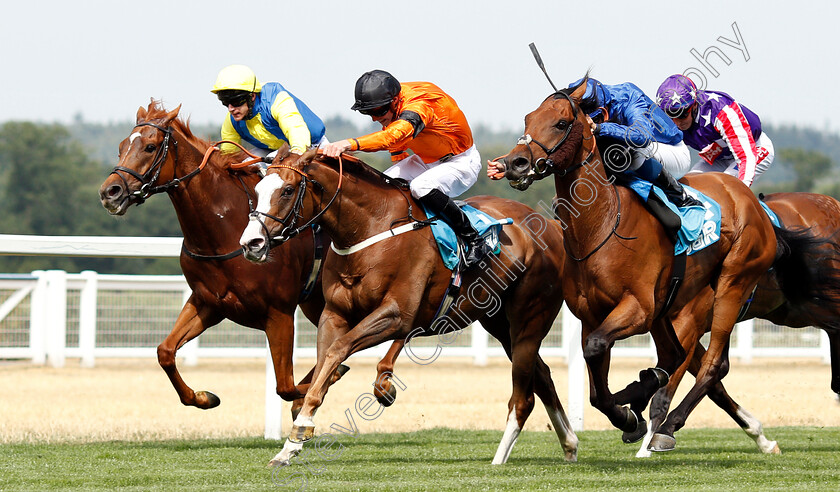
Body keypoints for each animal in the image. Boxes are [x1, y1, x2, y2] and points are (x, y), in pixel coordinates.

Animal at [97, 100, 406, 418]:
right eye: (121, 147)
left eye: (150, 146)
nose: (110, 192)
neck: (224, 231)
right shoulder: (208, 302)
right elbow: (165, 352)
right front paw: (204, 397)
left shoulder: (279, 313)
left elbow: (287, 385)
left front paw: (322, 384)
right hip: (318, 303)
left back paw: (383, 383)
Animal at [236, 145, 576, 466]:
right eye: (258, 190)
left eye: (288, 190)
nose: (251, 243)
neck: (370, 228)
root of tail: (550, 226)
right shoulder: (334, 314)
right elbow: (324, 361)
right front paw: (290, 445)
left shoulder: (397, 315)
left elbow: (337, 352)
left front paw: (302, 427)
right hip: (499, 323)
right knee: (542, 375)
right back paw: (570, 444)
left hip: (529, 318)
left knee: (523, 396)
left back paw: (500, 457)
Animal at [498, 80, 828, 454]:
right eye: (528, 118)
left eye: (561, 123)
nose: (516, 163)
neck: (600, 226)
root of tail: (750, 201)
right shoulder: (593, 315)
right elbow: (597, 383)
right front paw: (629, 416)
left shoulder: (638, 308)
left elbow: (598, 351)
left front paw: (633, 413)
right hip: (669, 308)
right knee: (675, 356)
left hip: (731, 285)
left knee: (711, 365)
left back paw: (667, 423)